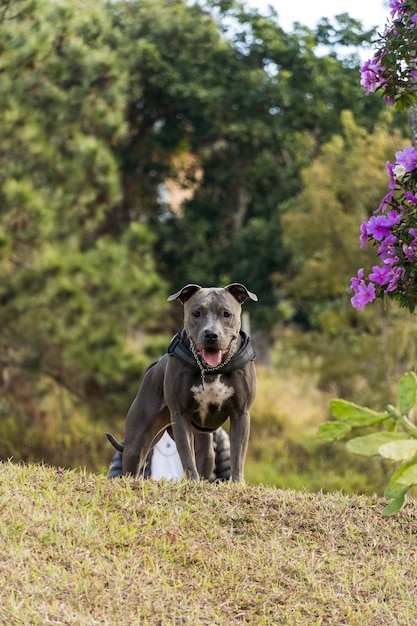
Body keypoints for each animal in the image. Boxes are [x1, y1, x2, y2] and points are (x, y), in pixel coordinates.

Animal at [106, 282, 256, 482]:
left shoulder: (241, 413)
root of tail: (154, 366)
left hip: (204, 443)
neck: (211, 370)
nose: (211, 334)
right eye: (196, 313)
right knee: (134, 460)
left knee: (206, 456)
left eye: (226, 313)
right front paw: (192, 480)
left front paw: (237, 482)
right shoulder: (181, 414)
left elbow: (238, 453)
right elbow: (186, 454)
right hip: (138, 438)